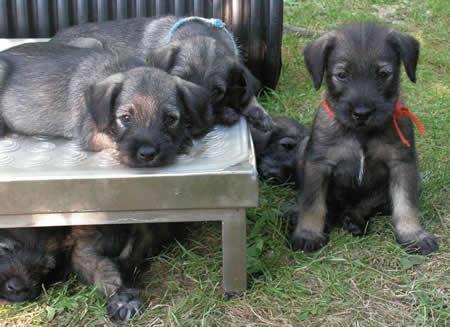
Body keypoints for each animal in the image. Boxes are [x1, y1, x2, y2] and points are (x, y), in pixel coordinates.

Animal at [290, 24, 438, 258]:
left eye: (383, 74)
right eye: (342, 75)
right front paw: (308, 234)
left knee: (364, 206)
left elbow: (406, 203)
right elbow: (312, 203)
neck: (361, 133)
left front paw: (413, 234)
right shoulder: (318, 164)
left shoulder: (402, 163)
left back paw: (353, 220)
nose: (362, 113)